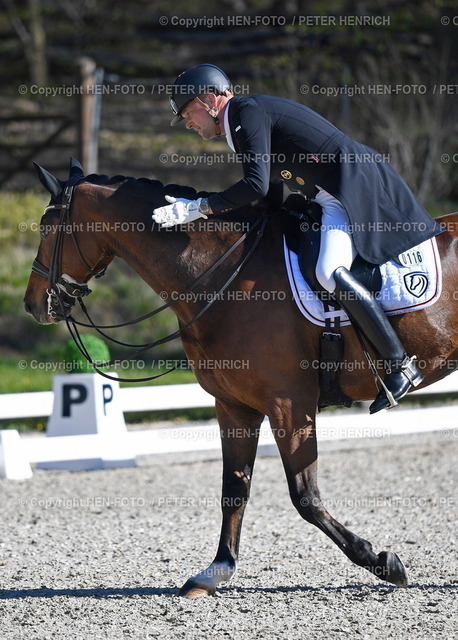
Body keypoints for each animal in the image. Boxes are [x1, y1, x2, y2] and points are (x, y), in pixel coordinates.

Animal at [24, 160, 458, 600]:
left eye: (45, 229)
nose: (32, 304)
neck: (223, 276)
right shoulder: (234, 406)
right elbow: (234, 490)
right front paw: (216, 571)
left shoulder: (288, 404)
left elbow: (304, 496)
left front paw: (381, 561)